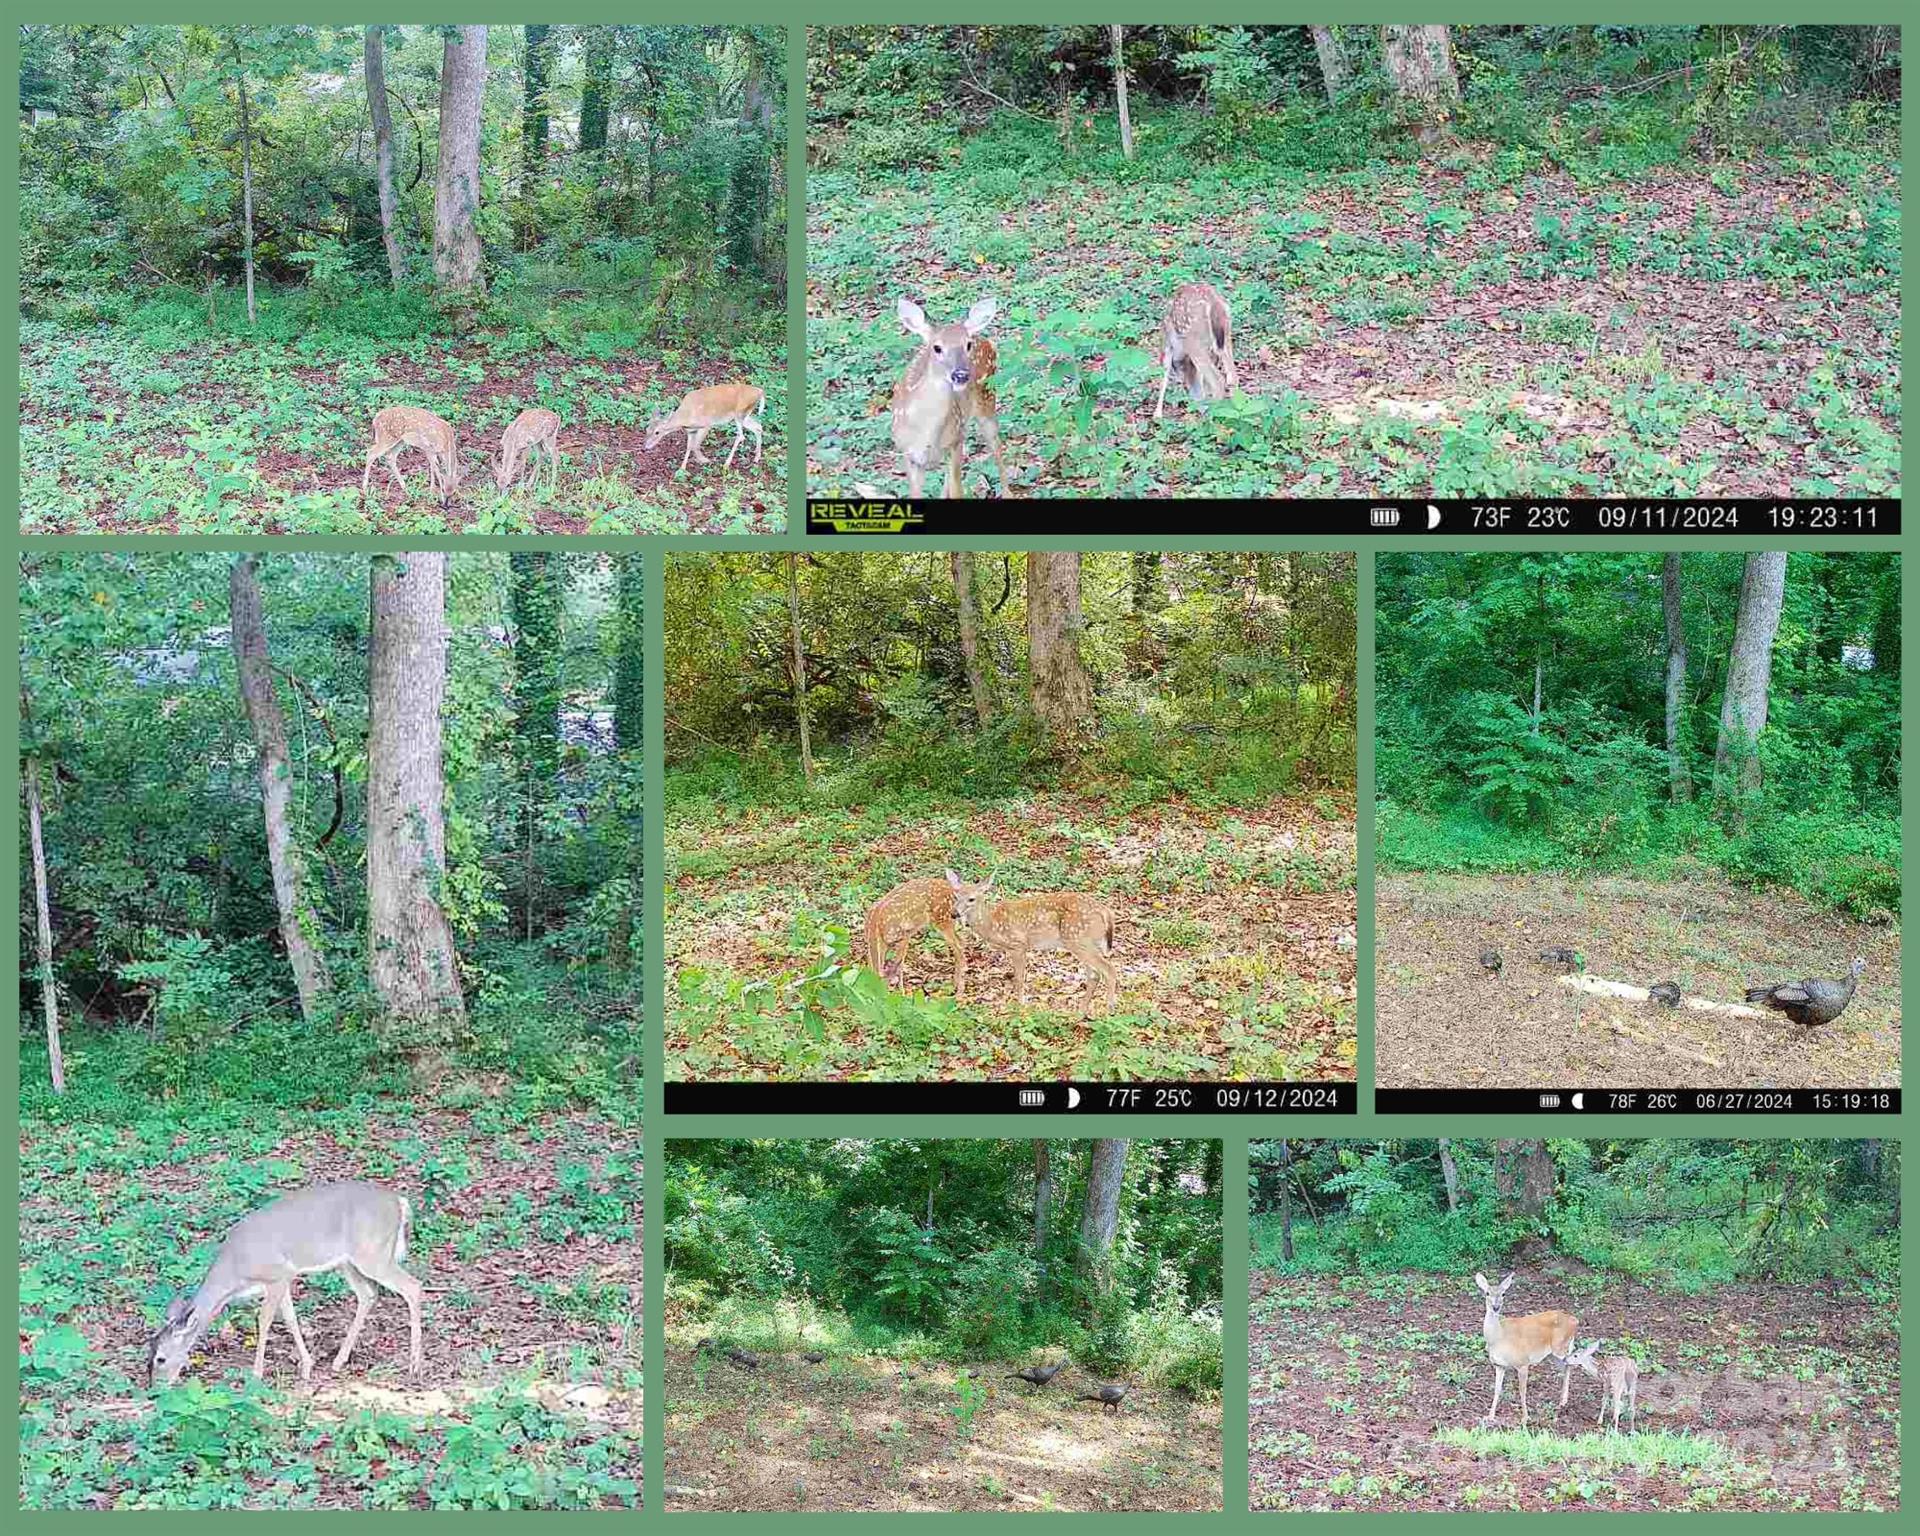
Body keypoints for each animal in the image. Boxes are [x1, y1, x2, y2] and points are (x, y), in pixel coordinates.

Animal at [145, 1182, 424, 1382]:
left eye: (160, 1359)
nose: (155, 1388)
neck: (235, 1274)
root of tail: (400, 1202)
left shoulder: (277, 1274)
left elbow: (264, 1320)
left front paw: (256, 1373)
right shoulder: (283, 1281)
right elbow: (290, 1317)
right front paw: (307, 1366)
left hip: (372, 1254)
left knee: (413, 1286)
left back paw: (414, 1365)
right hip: (349, 1262)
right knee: (368, 1294)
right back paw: (339, 1361)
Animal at [890, 295, 1013, 499]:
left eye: (967, 345)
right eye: (937, 347)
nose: (961, 375)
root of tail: (984, 338)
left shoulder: (954, 443)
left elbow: (958, 491)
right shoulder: (909, 455)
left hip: (987, 400)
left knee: (996, 445)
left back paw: (1007, 492)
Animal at [940, 871, 1121, 1013]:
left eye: (971, 899)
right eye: (955, 896)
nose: (954, 914)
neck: (991, 922)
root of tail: (1106, 913)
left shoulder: (1018, 945)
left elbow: (1019, 979)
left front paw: (1020, 1006)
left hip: (1079, 940)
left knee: (1109, 969)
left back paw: (1109, 1010)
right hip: (1083, 943)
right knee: (1094, 975)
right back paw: (1080, 1012)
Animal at [1144, 282, 1236, 420]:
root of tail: (1214, 302)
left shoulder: (1167, 346)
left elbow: (1165, 373)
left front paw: (1157, 415)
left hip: (1192, 340)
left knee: (1218, 380)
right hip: (1225, 335)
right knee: (1232, 376)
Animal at [1474, 1274, 1582, 1428]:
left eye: (1503, 1294)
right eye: (1487, 1293)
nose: (1496, 1307)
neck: (1499, 1337)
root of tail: (1574, 1320)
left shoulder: (1523, 1362)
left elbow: (1522, 1390)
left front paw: (1525, 1418)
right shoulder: (1499, 1365)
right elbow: (1497, 1389)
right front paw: (1490, 1416)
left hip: (1560, 1347)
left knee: (1571, 1365)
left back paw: (1563, 1402)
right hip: (1553, 1354)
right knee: (1566, 1367)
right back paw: (1562, 1402)